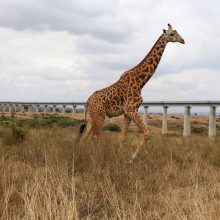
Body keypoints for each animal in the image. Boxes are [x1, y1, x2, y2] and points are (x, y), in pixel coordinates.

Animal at [80, 24, 185, 161]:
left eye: (177, 32)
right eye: (172, 34)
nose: (183, 40)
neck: (141, 81)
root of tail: (87, 101)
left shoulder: (127, 113)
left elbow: (123, 137)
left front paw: (119, 158)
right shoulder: (131, 109)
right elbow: (146, 133)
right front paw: (131, 158)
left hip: (92, 117)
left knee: (84, 137)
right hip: (99, 116)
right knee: (94, 137)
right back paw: (95, 158)